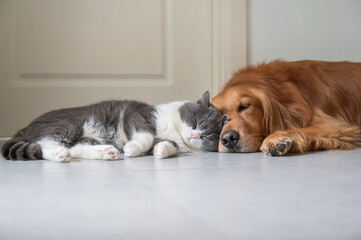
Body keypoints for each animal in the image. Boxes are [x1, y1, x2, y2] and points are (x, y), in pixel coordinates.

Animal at [1, 91, 225, 162]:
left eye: (207, 136)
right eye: (195, 122)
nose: (194, 136)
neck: (175, 131)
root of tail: (24, 128)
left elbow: (169, 145)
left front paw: (161, 150)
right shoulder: (138, 116)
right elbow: (145, 135)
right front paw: (132, 148)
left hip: (87, 138)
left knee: (75, 148)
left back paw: (106, 152)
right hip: (69, 125)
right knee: (45, 143)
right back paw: (59, 154)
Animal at [211, 60, 360, 156]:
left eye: (245, 106)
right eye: (216, 118)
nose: (228, 139)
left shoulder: (337, 125)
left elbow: (302, 129)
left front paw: (275, 140)